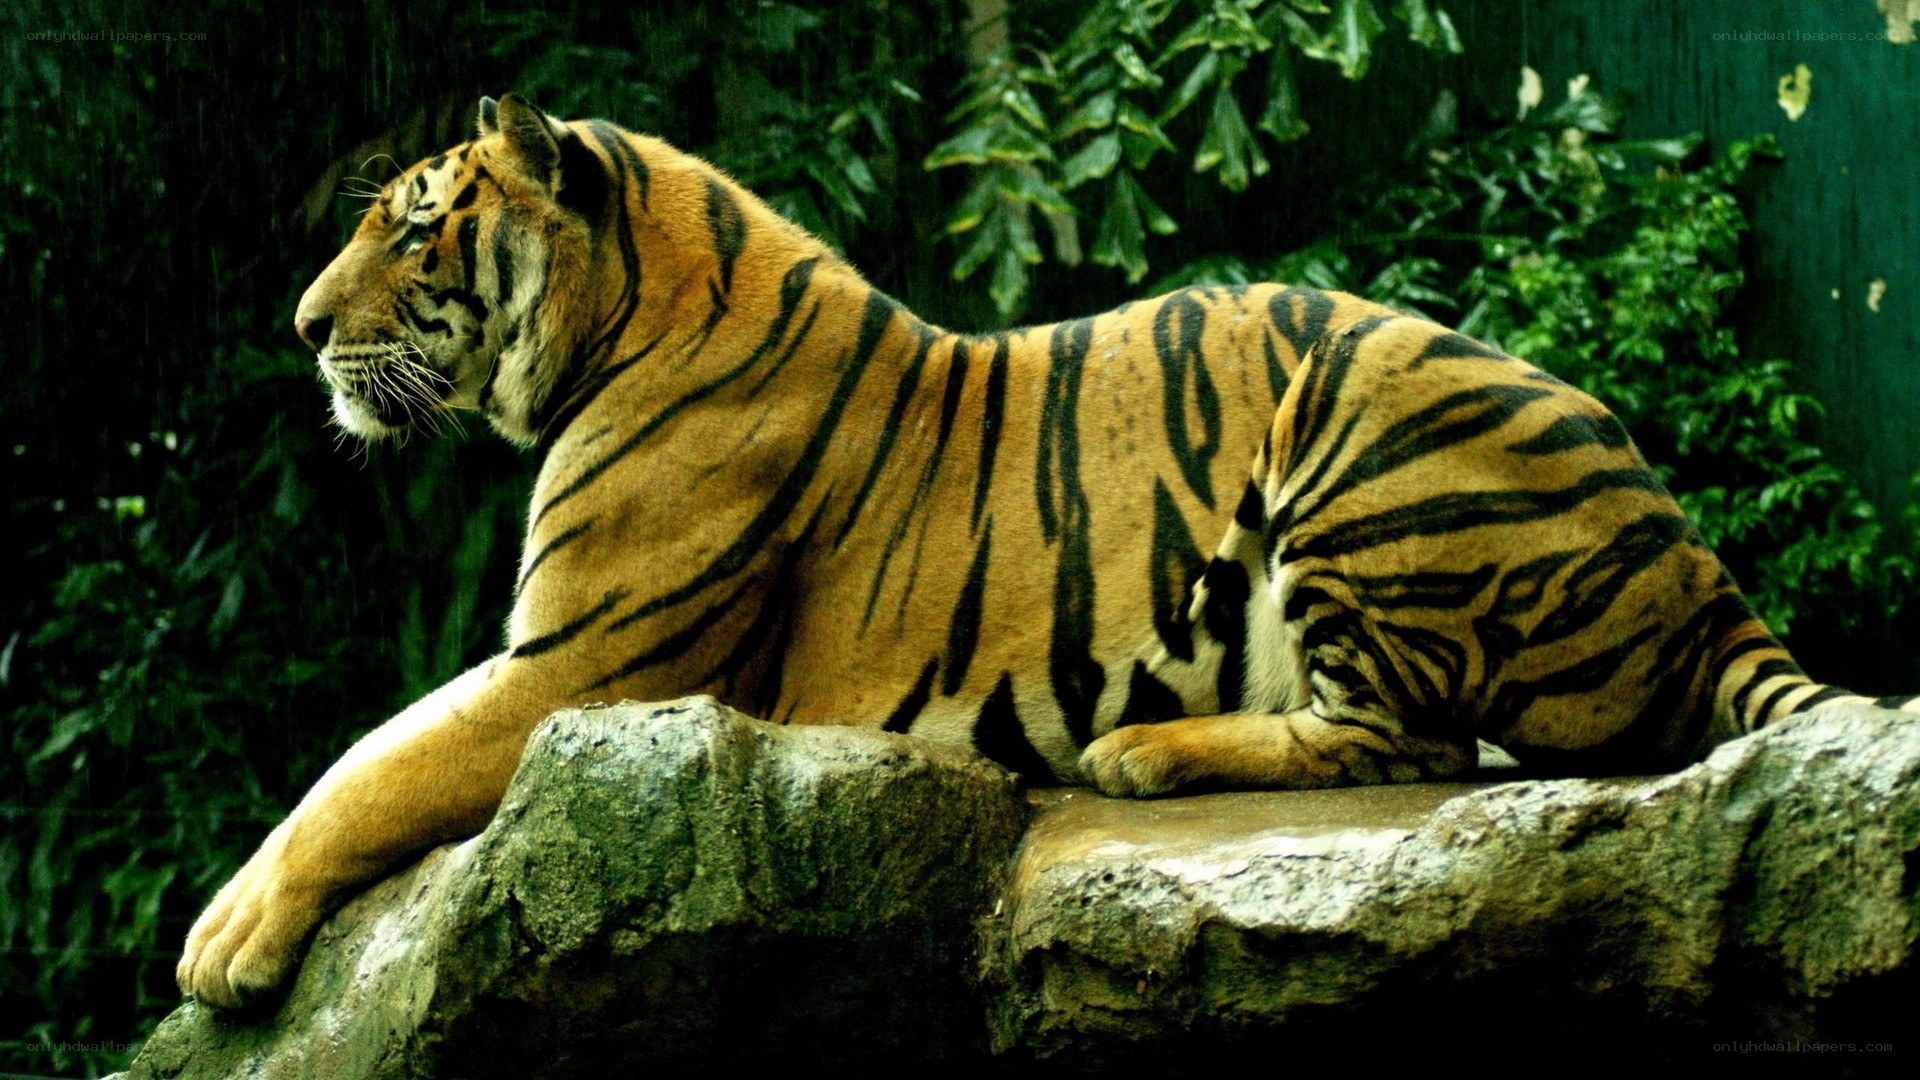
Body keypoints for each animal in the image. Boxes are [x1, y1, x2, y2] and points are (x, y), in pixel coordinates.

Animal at [177, 92, 1917, 1009]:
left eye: (415, 226)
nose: (301, 329)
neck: (624, 321)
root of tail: (1693, 559)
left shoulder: (583, 668)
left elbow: (368, 770)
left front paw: (223, 942)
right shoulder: (561, 661)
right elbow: (368, 752)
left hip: (1364, 409)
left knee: (1413, 740)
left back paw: (1140, 755)